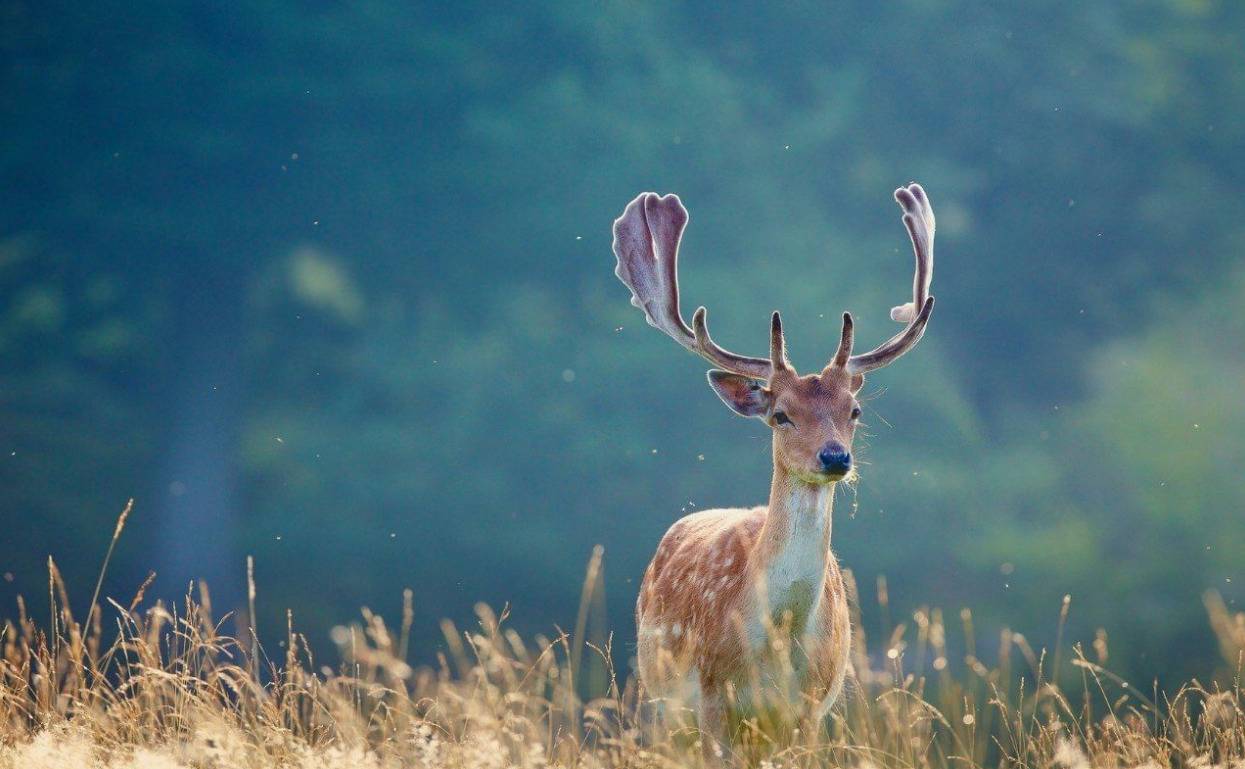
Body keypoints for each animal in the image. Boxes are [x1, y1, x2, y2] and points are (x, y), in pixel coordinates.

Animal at [612, 181, 936, 756]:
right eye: (781, 414)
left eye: (854, 410)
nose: (835, 456)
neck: (776, 643)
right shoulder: (711, 700)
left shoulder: (809, 709)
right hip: (660, 702)